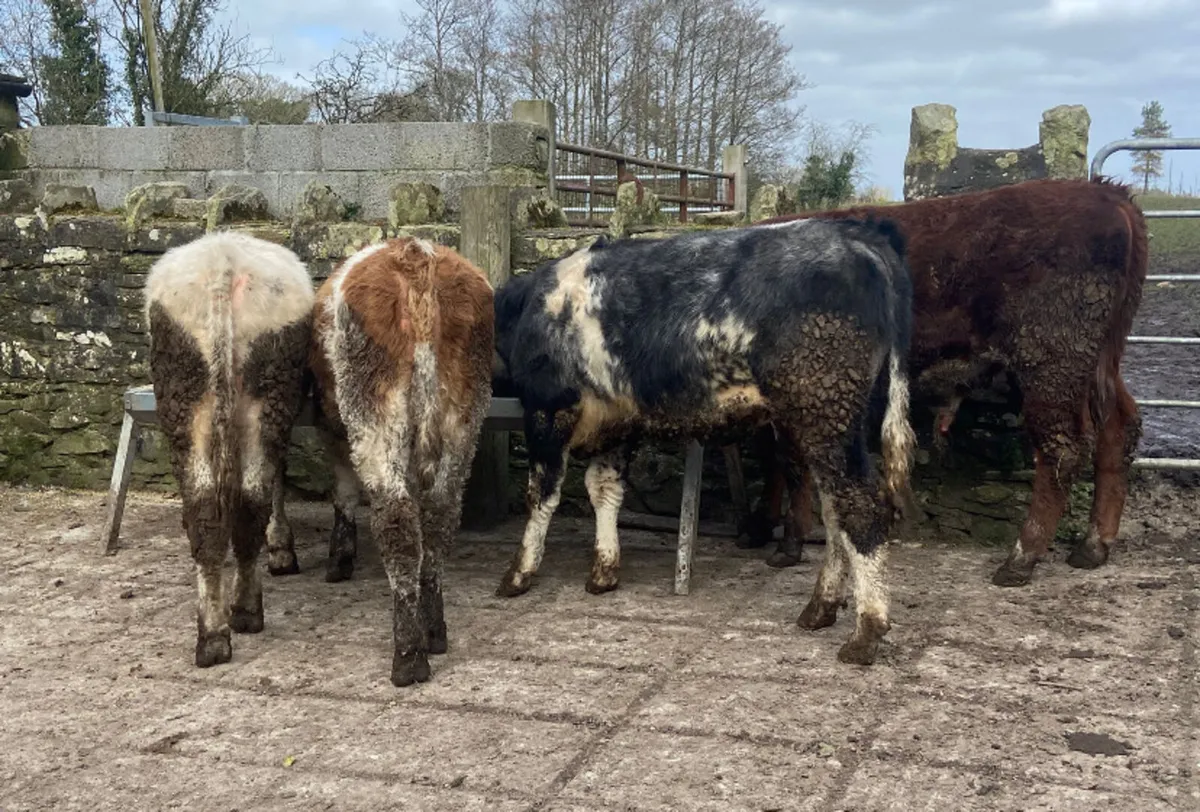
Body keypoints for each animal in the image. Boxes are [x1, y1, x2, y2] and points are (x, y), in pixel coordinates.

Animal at [143, 231, 314, 667]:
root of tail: (224, 264)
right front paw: (281, 547)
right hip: (237, 393)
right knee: (228, 509)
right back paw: (227, 626)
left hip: (213, 390)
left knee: (225, 509)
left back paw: (229, 623)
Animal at [308, 237, 494, 686]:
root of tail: (416, 256)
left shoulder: (331, 426)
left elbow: (343, 488)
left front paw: (340, 557)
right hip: (463, 412)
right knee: (440, 515)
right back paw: (434, 629)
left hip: (375, 408)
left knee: (398, 521)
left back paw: (409, 655)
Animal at [491, 217, 917, 665]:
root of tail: (855, 235)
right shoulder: (616, 422)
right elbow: (603, 489)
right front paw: (604, 570)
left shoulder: (547, 410)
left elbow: (541, 494)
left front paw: (519, 574)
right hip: (824, 425)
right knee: (836, 511)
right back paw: (820, 608)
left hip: (827, 409)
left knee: (861, 506)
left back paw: (866, 632)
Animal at [742, 177, 1149, 587]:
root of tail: (1105, 193)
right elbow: (775, 459)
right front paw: (762, 525)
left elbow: (789, 463)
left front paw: (786, 543)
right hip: (1097, 366)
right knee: (1119, 429)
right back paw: (1092, 547)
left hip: (1051, 364)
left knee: (1062, 451)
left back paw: (1021, 558)